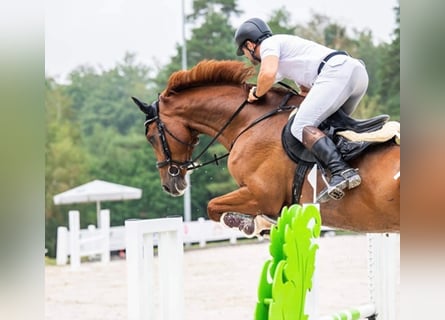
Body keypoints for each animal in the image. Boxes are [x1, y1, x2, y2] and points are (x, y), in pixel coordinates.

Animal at [133, 59, 398, 235]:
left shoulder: (262, 194)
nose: (170, 185)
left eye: (151, 136)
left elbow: (213, 207)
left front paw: (252, 223)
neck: (249, 121)